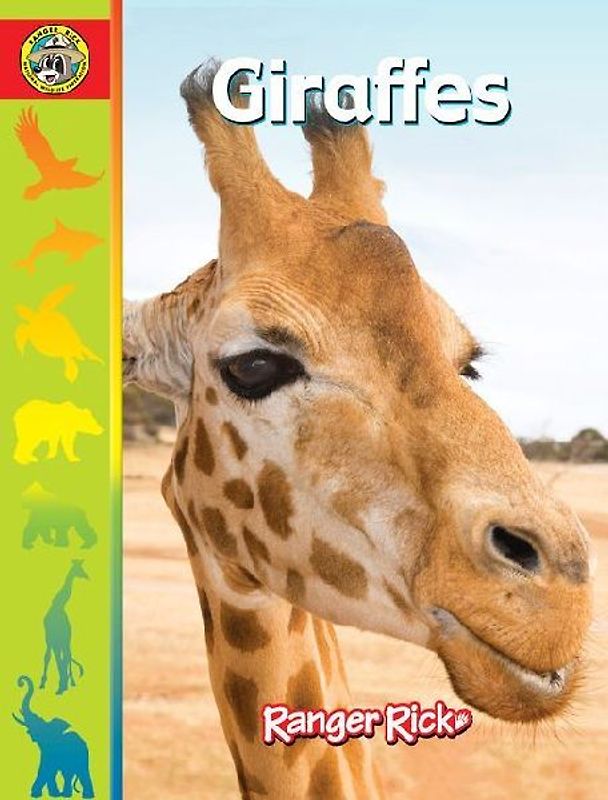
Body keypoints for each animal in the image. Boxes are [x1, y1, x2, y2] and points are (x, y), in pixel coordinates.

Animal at [40, 560, 88, 695]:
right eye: (79, 568)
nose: (87, 576)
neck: (58, 605)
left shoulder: (58, 640)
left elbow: (58, 658)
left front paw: (61, 684)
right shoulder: (50, 639)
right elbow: (48, 657)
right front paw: (43, 683)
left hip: (65, 641)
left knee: (67, 656)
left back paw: (68, 682)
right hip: (61, 642)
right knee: (64, 657)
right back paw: (64, 683)